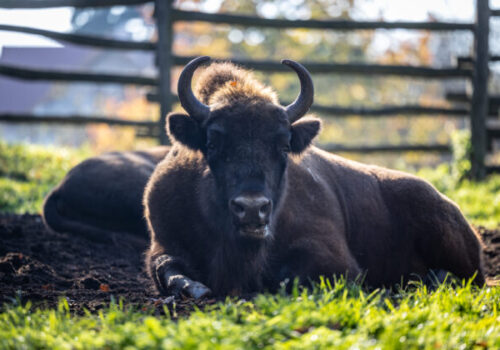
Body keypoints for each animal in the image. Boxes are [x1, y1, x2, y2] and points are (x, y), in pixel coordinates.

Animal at [44, 56, 484, 298]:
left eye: (283, 143)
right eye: (213, 141)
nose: (252, 209)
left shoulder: (335, 260)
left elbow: (291, 277)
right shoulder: (162, 244)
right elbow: (169, 270)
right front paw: (197, 288)